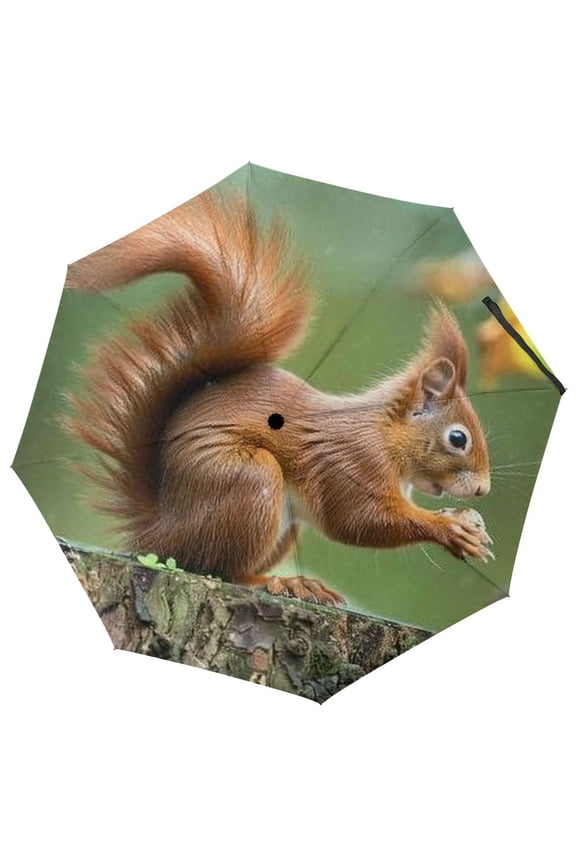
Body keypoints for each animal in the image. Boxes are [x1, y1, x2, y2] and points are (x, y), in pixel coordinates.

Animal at [64, 191, 493, 606]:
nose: (483, 491)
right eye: (458, 438)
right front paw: (449, 528)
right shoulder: (352, 461)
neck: (386, 435)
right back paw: (276, 582)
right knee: (218, 567)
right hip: (249, 480)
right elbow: (357, 519)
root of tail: (159, 532)